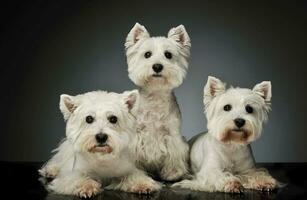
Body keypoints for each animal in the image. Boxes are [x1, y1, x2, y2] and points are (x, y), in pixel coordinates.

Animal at [125, 22, 192, 180]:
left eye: (168, 55)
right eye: (147, 54)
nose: (157, 66)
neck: (155, 95)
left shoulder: (172, 133)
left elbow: (174, 154)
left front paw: (174, 172)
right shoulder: (137, 135)